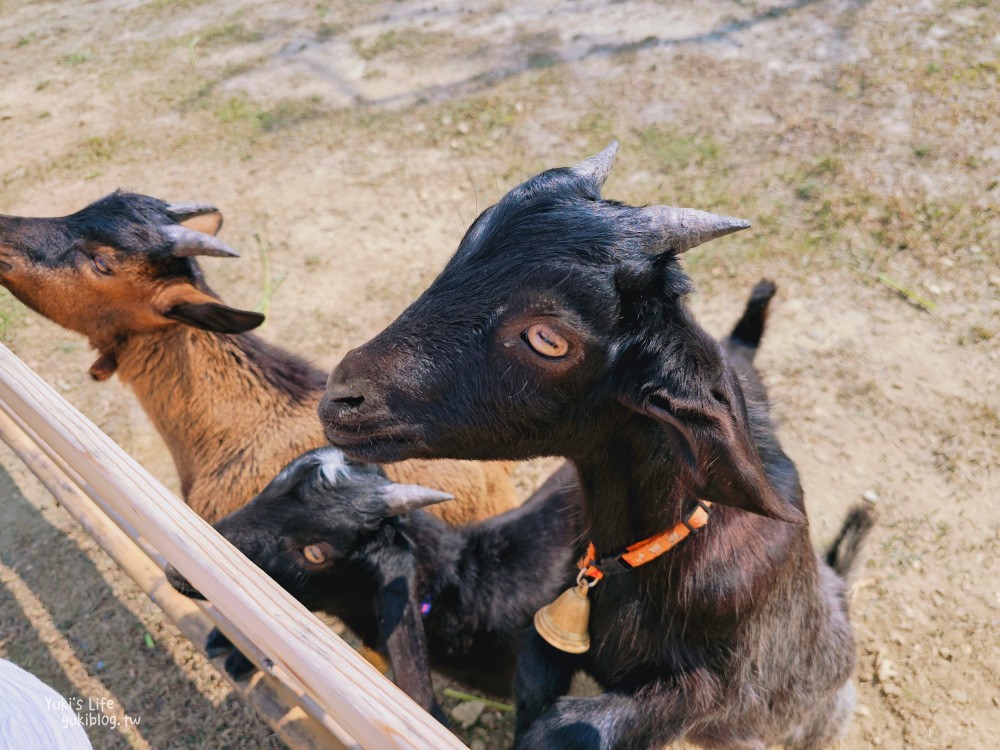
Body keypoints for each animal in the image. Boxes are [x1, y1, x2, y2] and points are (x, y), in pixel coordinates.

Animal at [320, 142, 876, 750]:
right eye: (466, 246)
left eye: (548, 339)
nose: (341, 398)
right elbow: (537, 675)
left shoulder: (723, 682)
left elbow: (575, 726)